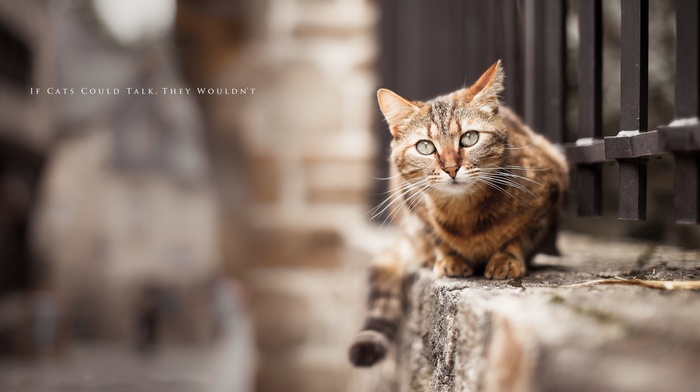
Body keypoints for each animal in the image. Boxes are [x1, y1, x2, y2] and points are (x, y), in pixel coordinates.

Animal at [350, 61, 568, 368]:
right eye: (425, 146)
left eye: (469, 138)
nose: (451, 168)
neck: (464, 215)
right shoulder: (411, 203)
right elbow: (436, 237)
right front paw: (448, 257)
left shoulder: (551, 188)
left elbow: (521, 235)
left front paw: (506, 257)